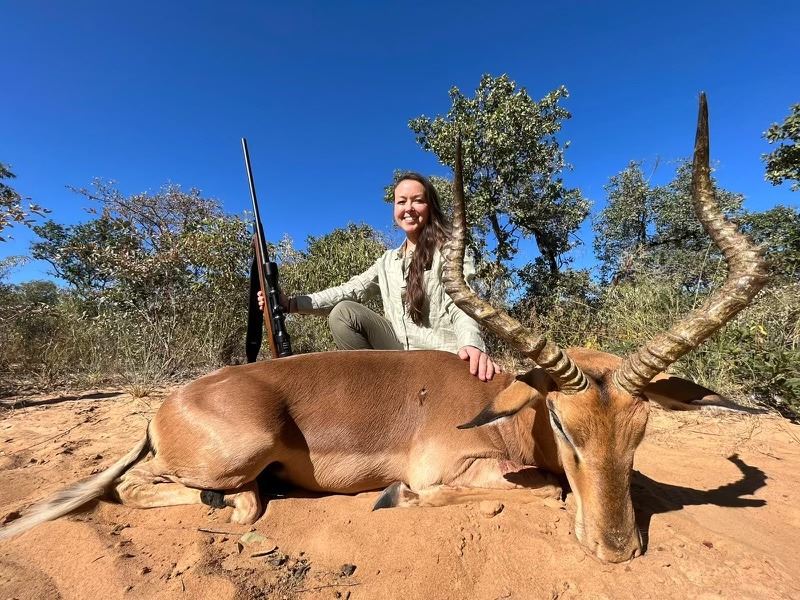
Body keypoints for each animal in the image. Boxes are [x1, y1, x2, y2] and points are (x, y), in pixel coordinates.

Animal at [0, 94, 768, 563]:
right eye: (565, 424)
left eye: (641, 432)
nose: (616, 548)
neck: (504, 414)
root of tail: (166, 406)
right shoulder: (450, 469)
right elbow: (524, 489)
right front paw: (394, 497)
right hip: (238, 455)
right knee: (184, 497)